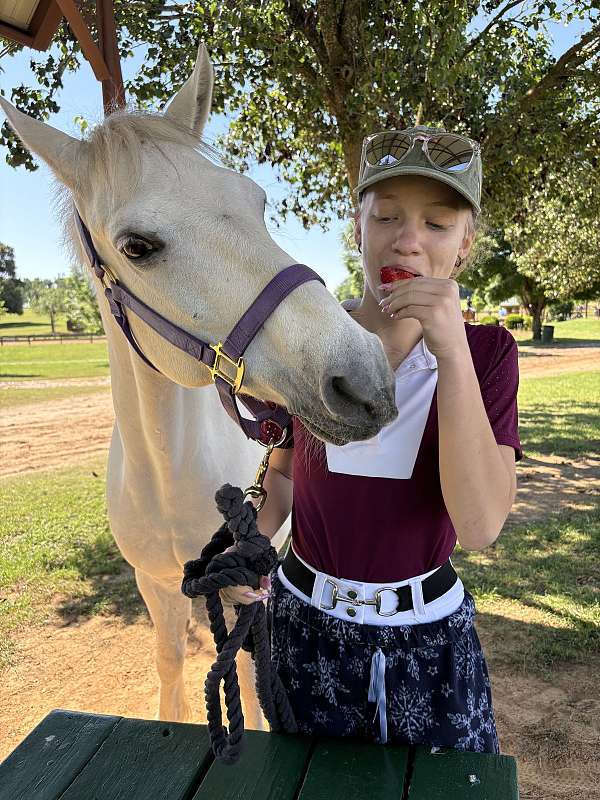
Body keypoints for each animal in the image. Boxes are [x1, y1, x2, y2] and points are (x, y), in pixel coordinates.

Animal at [0, 42, 397, 725]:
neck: (166, 472)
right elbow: (172, 665)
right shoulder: (156, 585)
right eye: (137, 246)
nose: (363, 376)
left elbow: (251, 680)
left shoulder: (246, 587)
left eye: (257, 200)